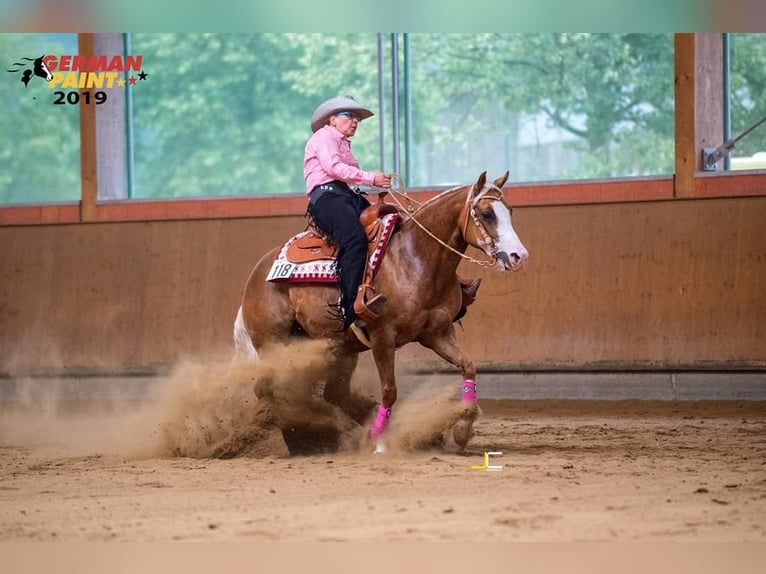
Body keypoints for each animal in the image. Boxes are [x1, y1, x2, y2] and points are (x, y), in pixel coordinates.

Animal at [234, 171, 532, 454]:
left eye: (510, 211)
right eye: (486, 213)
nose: (519, 256)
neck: (416, 258)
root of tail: (256, 276)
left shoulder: (437, 334)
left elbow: (468, 367)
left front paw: (461, 430)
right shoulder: (382, 336)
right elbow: (390, 390)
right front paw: (380, 441)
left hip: (334, 347)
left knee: (332, 393)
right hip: (275, 343)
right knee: (268, 389)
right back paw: (305, 439)